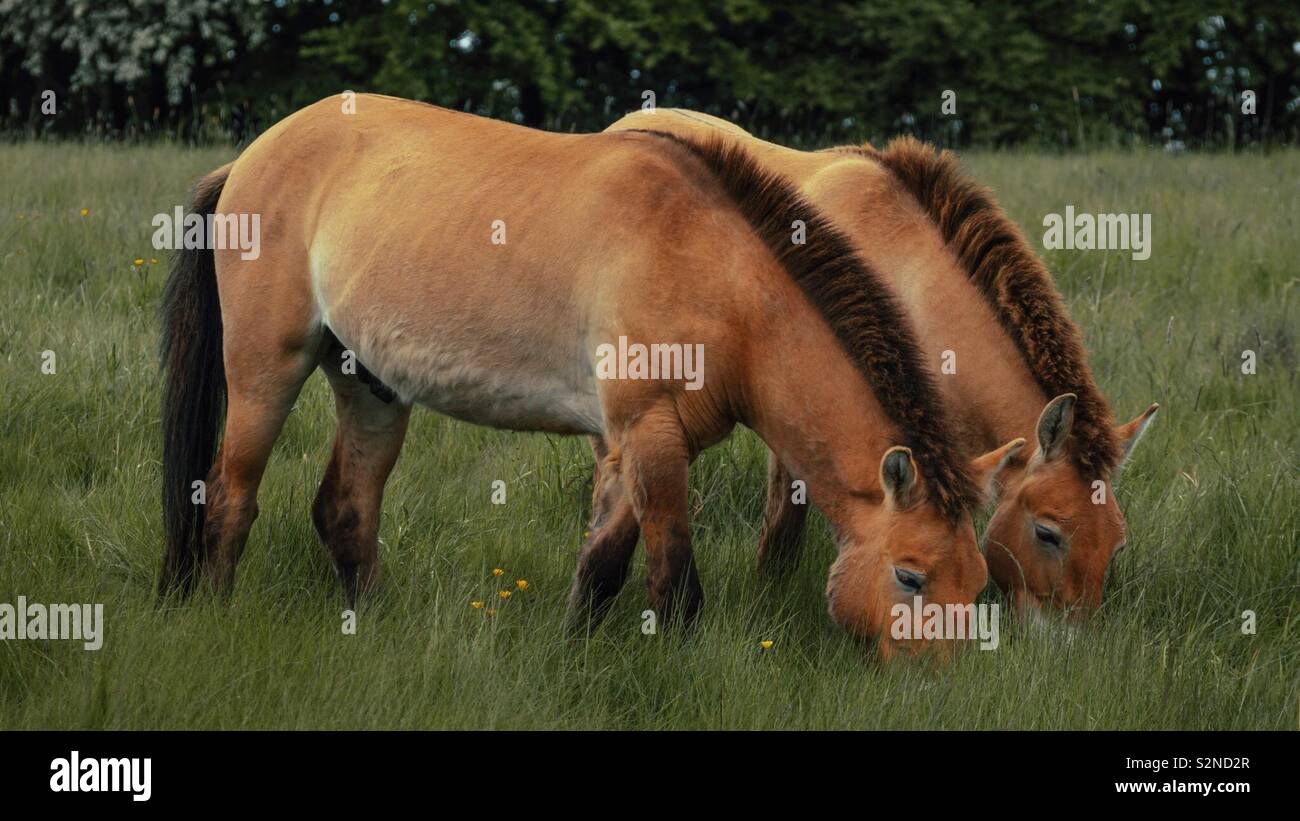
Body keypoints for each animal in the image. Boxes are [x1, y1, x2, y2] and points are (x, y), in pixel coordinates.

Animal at [158, 94, 1020, 656]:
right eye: (910, 577)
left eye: (977, 579)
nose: (940, 682)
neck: (720, 279)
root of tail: (249, 157)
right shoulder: (650, 435)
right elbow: (673, 583)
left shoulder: (641, 442)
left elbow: (603, 563)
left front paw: (571, 652)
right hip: (266, 371)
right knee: (230, 498)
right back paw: (218, 616)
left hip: (369, 384)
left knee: (345, 509)